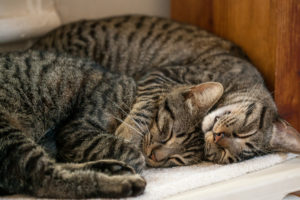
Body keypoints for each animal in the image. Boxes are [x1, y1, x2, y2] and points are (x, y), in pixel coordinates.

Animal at [0, 50, 224, 198]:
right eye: (168, 133)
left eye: (176, 160)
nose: (155, 157)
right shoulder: (76, 130)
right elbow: (129, 151)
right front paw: (135, 155)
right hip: (9, 133)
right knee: (45, 178)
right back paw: (123, 182)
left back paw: (111, 168)